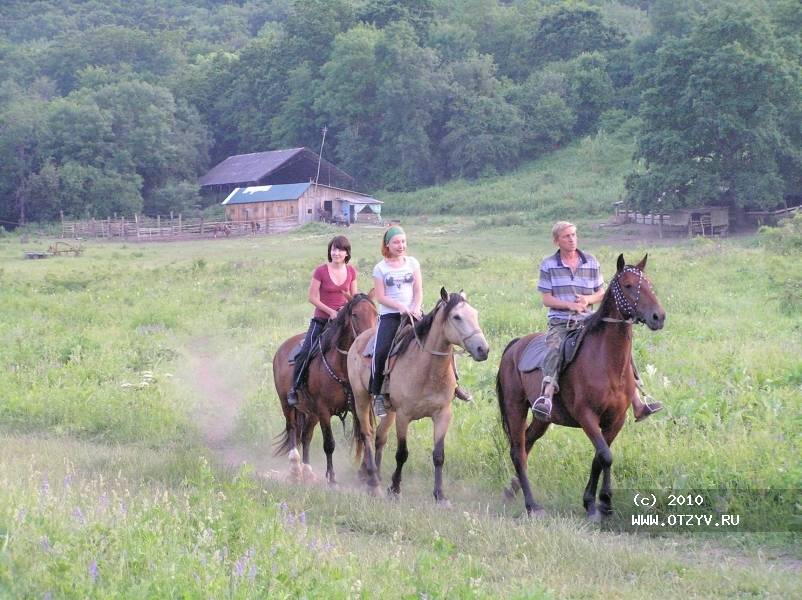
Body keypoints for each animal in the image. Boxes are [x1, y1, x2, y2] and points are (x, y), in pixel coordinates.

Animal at [272, 292, 376, 486]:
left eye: (376, 313)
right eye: (355, 315)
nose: (368, 341)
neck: (341, 366)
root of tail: (282, 348)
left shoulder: (356, 407)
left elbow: (364, 436)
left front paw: (368, 475)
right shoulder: (324, 410)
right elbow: (329, 443)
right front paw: (332, 478)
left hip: (310, 412)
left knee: (306, 435)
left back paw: (307, 471)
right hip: (287, 403)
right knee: (292, 429)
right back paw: (295, 469)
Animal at [348, 288, 490, 504]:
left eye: (475, 314)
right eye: (456, 317)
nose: (483, 349)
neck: (427, 370)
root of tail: (359, 339)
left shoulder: (443, 414)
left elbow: (438, 455)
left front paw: (440, 495)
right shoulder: (404, 416)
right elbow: (401, 453)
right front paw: (395, 489)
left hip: (389, 410)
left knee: (380, 436)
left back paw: (376, 476)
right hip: (361, 398)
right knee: (367, 434)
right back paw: (372, 480)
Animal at [494, 255, 664, 516]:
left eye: (649, 284)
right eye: (627, 285)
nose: (658, 317)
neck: (606, 361)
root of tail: (515, 346)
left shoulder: (616, 420)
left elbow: (600, 456)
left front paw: (594, 502)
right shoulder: (586, 416)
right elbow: (605, 455)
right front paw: (602, 502)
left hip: (543, 418)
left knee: (527, 442)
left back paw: (511, 490)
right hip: (515, 407)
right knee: (518, 451)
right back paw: (532, 505)